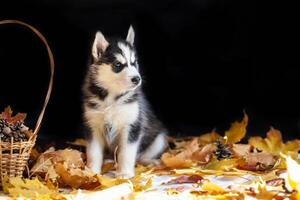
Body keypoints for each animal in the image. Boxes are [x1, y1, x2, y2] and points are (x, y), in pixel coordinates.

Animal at [82, 26, 168, 178]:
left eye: (134, 63)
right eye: (118, 65)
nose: (137, 79)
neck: (112, 98)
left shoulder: (132, 126)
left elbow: (126, 153)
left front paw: (125, 173)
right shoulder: (93, 126)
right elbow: (93, 152)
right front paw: (92, 172)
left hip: (159, 138)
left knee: (142, 156)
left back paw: (151, 162)